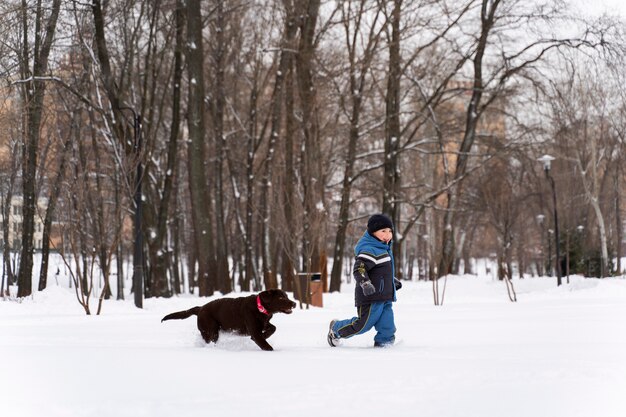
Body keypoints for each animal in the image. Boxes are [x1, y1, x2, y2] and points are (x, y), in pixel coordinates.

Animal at [162, 288, 296, 350]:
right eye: (280, 298)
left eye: (287, 296)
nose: (294, 303)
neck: (260, 308)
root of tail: (200, 309)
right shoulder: (254, 331)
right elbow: (265, 345)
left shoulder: (264, 323)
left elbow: (273, 328)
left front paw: (266, 335)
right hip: (211, 331)